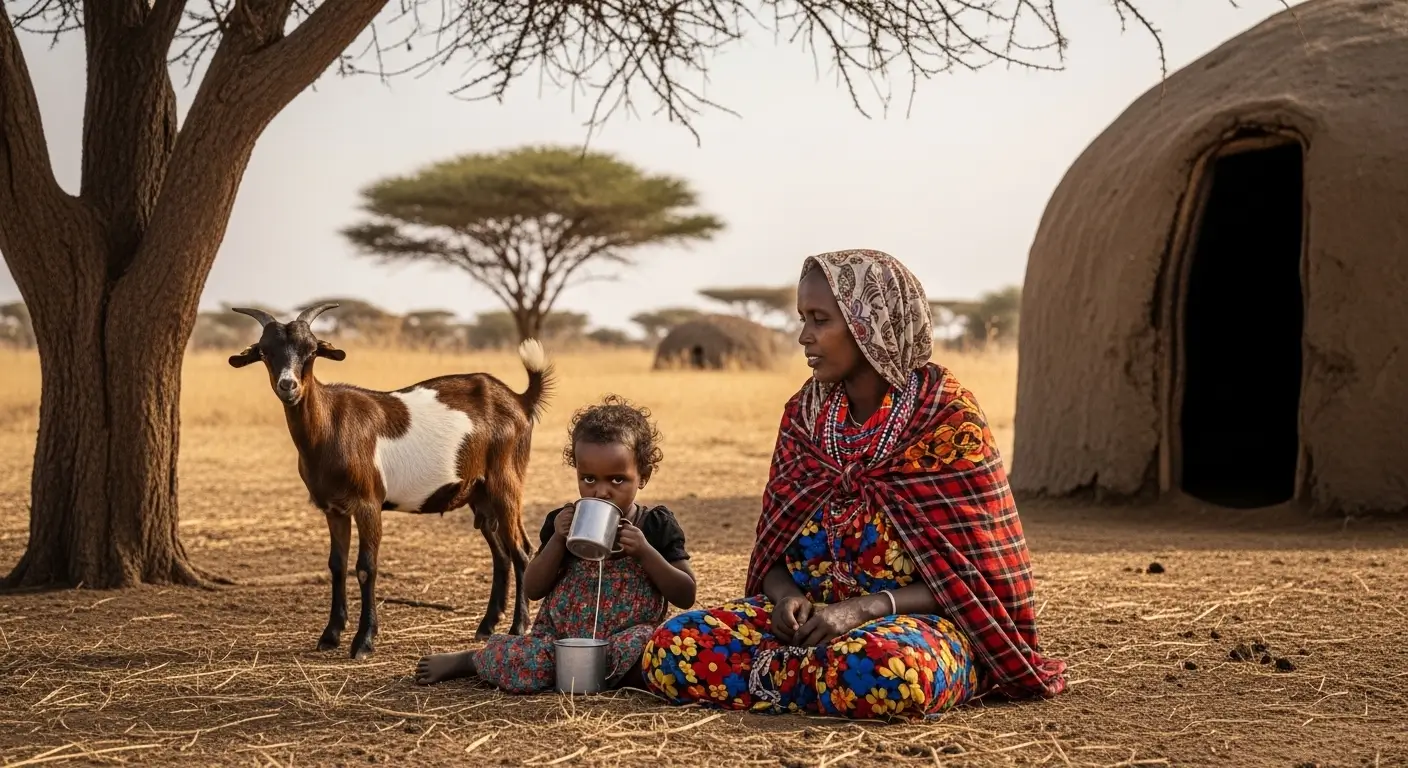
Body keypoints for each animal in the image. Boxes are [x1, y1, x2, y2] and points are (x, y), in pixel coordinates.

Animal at [227, 303, 552, 659]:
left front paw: (363, 641)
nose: (289, 386)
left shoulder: (368, 503)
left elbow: (365, 566)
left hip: (506, 482)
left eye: (311, 351)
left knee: (521, 550)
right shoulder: (334, 509)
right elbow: (337, 564)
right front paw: (330, 635)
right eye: (265, 352)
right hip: (479, 495)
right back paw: (487, 626)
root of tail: (520, 399)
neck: (330, 425)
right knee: (501, 553)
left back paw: (517, 627)